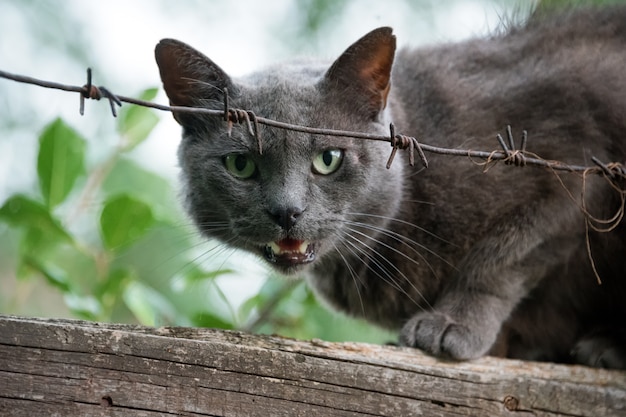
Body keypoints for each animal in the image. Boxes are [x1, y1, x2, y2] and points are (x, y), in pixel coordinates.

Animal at [155, 6, 624, 368]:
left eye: (328, 159)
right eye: (241, 164)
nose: (287, 210)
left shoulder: (574, 169)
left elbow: (501, 256)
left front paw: (449, 325)